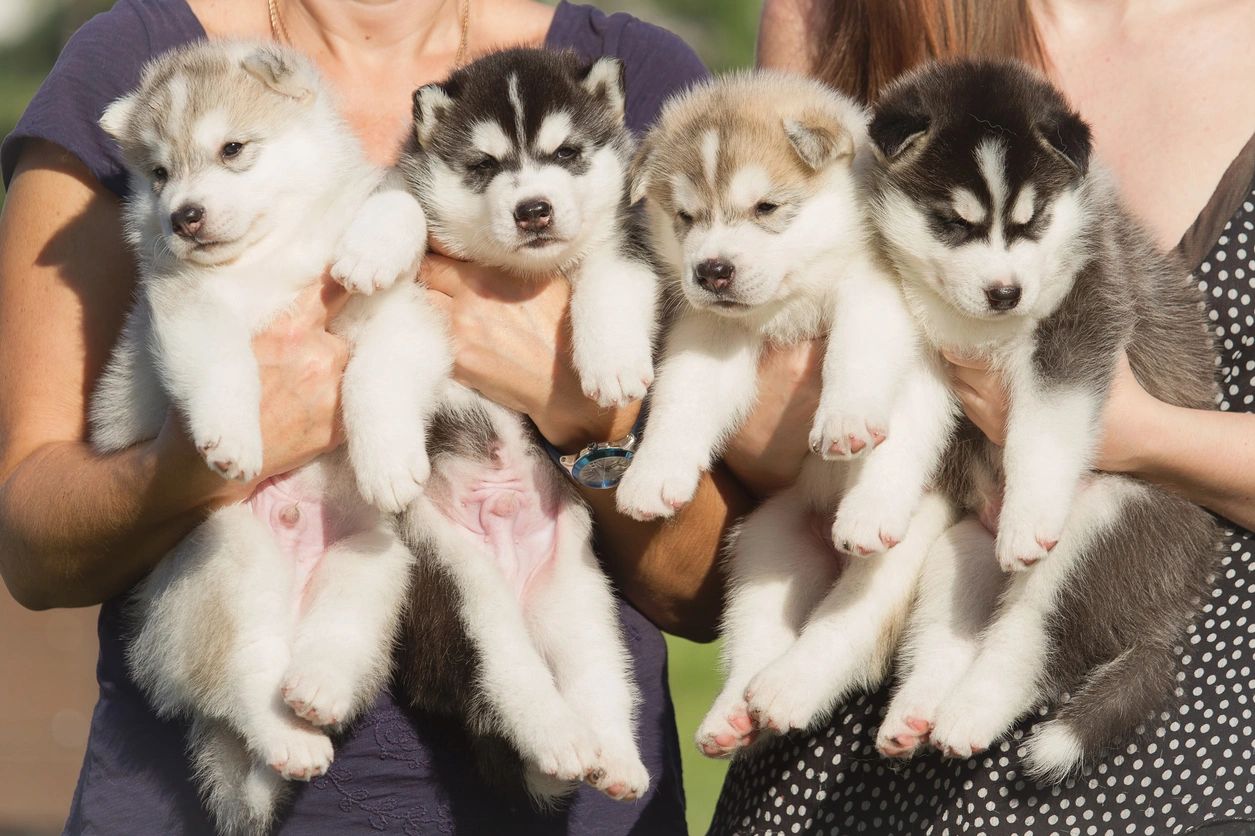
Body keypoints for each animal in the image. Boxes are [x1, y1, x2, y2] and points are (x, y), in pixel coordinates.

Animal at [90, 42, 451, 828]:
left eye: (233, 149)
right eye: (158, 173)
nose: (183, 217)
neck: (273, 254)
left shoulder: (398, 316)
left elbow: (382, 348)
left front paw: (387, 460)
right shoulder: (182, 309)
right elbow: (223, 363)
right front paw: (231, 437)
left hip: (374, 566)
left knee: (327, 644)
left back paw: (313, 696)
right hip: (221, 561)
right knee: (243, 681)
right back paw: (285, 736)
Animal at [396, 48, 657, 803]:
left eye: (566, 153)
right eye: (483, 165)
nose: (532, 207)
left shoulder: (629, 241)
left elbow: (611, 279)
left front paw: (612, 363)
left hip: (581, 597)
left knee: (599, 677)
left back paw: (612, 757)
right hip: (454, 586)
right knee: (502, 674)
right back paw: (557, 740)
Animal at [614, 73, 948, 753]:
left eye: (766, 208)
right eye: (685, 217)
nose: (712, 270)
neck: (792, 299)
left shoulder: (880, 289)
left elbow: (858, 351)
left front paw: (845, 420)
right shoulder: (709, 334)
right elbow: (683, 398)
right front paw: (652, 475)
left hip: (911, 541)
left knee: (848, 624)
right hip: (764, 546)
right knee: (758, 634)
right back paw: (734, 712)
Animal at [863, 60, 1214, 783]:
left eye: (1034, 221)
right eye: (952, 223)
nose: (1005, 293)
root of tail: (1173, 604)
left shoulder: (1081, 318)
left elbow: (1043, 430)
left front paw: (1027, 518)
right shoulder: (926, 350)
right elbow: (902, 426)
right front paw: (870, 509)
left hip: (1107, 527)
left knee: (1029, 644)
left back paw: (969, 716)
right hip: (962, 550)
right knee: (955, 635)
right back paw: (916, 713)